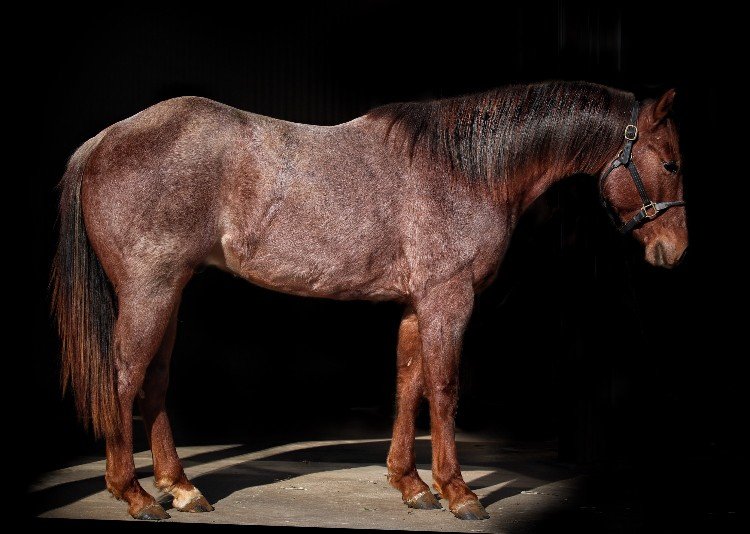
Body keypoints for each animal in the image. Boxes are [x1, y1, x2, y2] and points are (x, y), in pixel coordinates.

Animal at [51, 81, 687, 521]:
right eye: (671, 162)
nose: (674, 251)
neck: (466, 169)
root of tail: (104, 139)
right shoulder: (447, 298)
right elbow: (445, 389)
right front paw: (459, 492)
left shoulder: (415, 303)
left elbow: (409, 384)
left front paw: (411, 484)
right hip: (149, 291)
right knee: (123, 378)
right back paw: (134, 494)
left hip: (170, 292)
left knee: (153, 382)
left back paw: (180, 488)